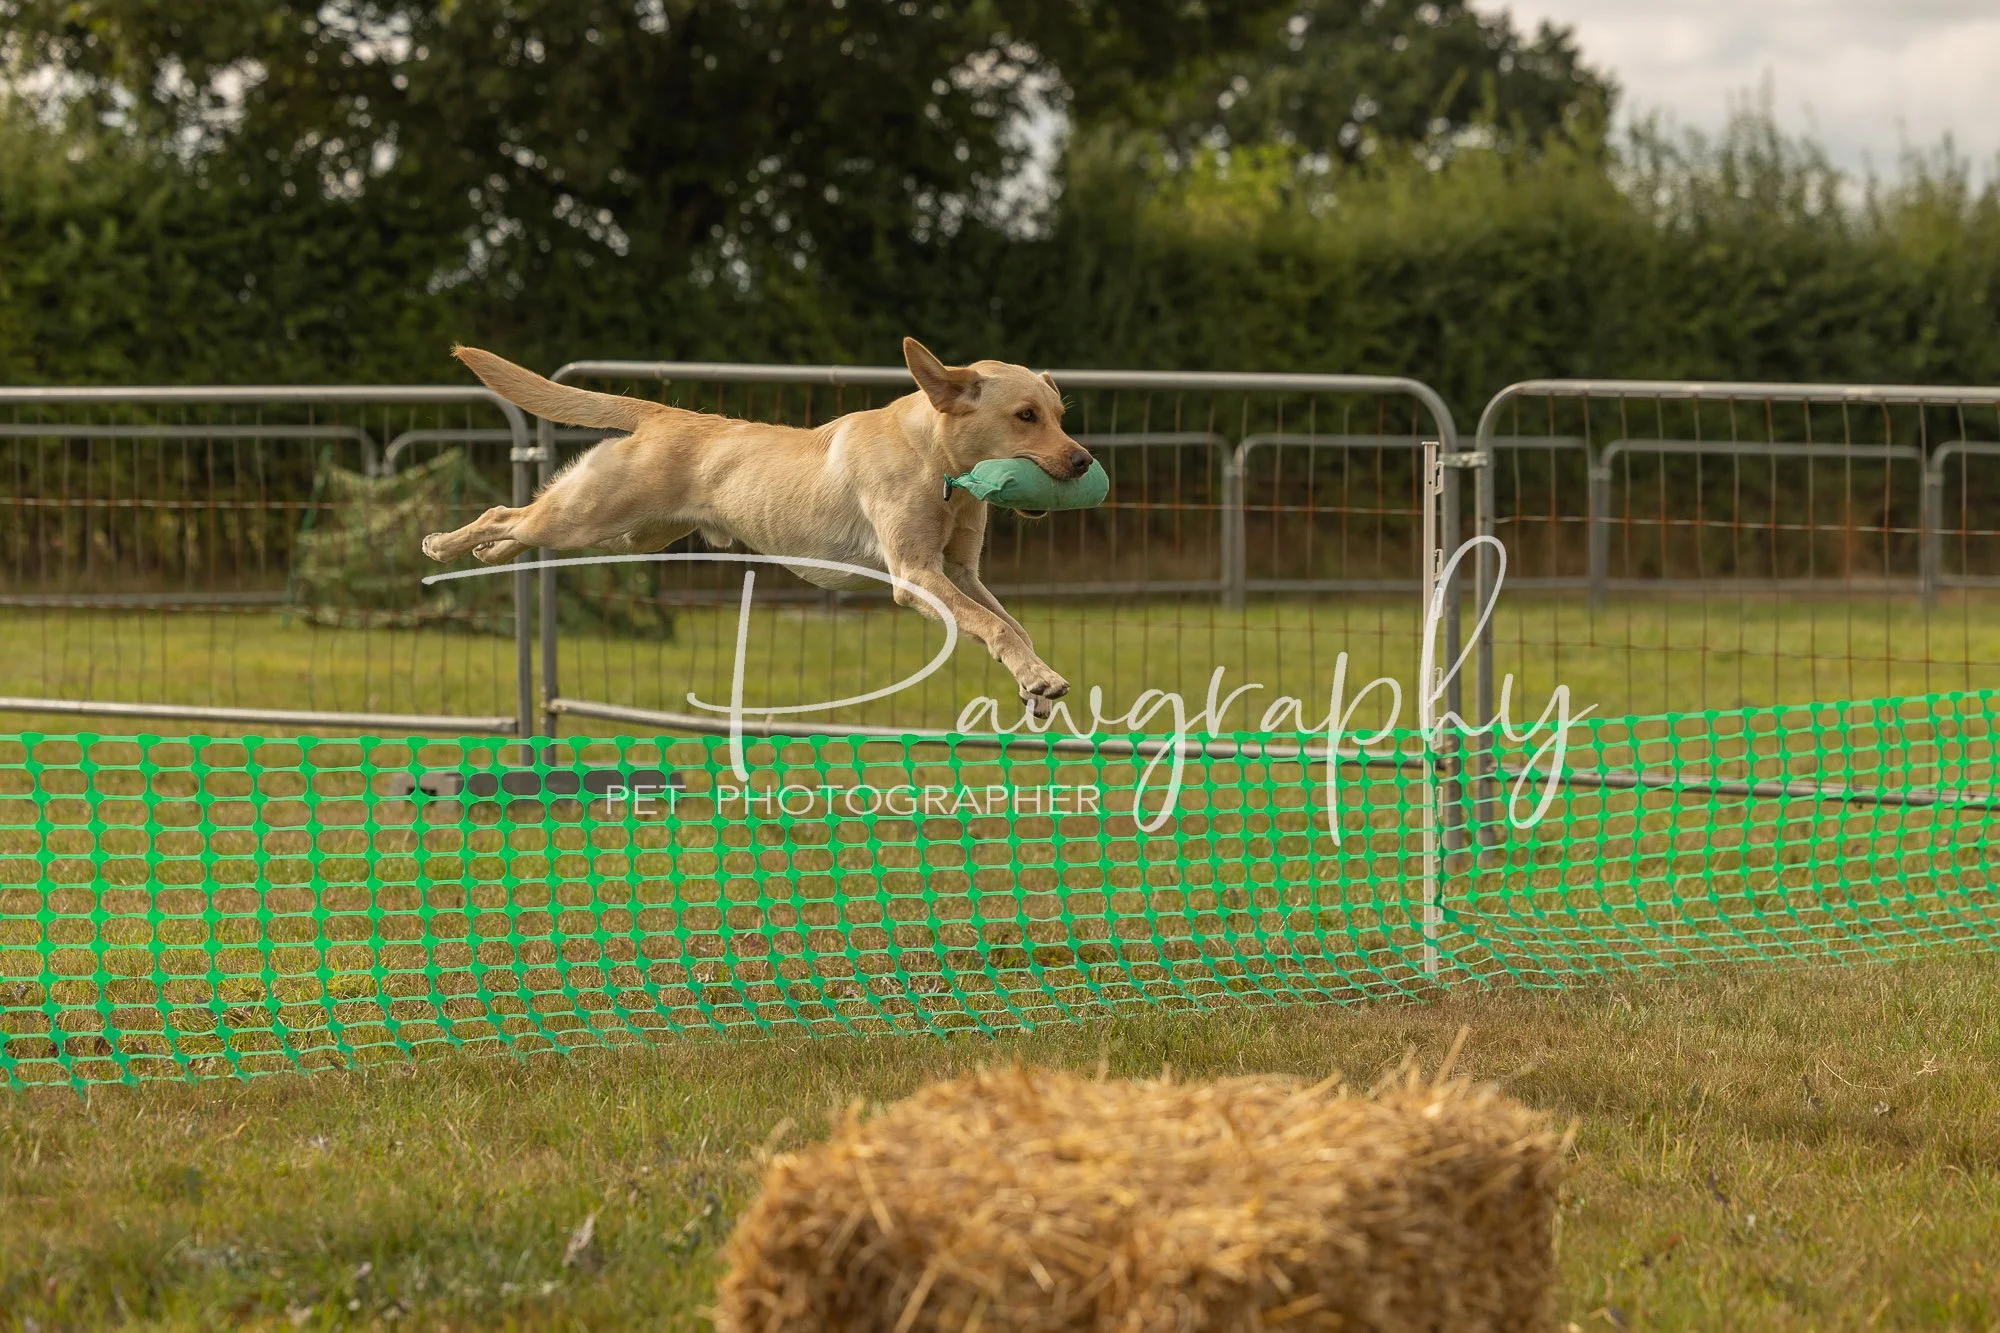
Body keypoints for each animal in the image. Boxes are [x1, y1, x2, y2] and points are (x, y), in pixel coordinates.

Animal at [423, 339, 1091, 713]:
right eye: (1025, 416)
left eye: (1060, 415)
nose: (1085, 461)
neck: (939, 461)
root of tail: (663, 413)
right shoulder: (916, 574)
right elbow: (994, 627)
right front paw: (1037, 679)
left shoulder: (960, 572)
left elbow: (1012, 625)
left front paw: (1035, 684)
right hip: (589, 517)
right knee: (507, 514)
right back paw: (445, 544)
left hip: (630, 535)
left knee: (518, 526)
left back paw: (485, 554)